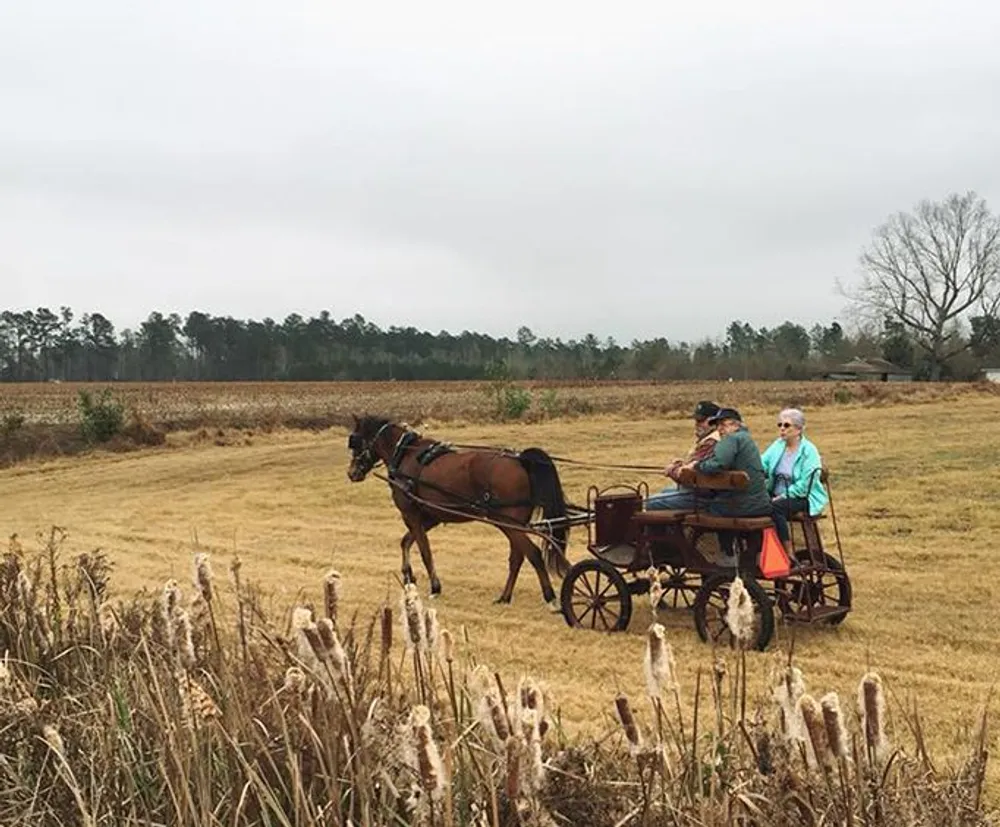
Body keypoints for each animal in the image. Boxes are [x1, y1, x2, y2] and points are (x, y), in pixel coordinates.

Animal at [348, 418, 572, 612]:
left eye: (355, 442)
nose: (351, 473)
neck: (405, 455)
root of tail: (521, 460)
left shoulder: (411, 514)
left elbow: (425, 551)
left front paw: (435, 587)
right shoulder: (430, 517)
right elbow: (406, 542)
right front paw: (408, 577)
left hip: (506, 521)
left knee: (533, 553)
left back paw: (551, 598)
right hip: (512, 523)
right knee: (517, 557)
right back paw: (505, 597)